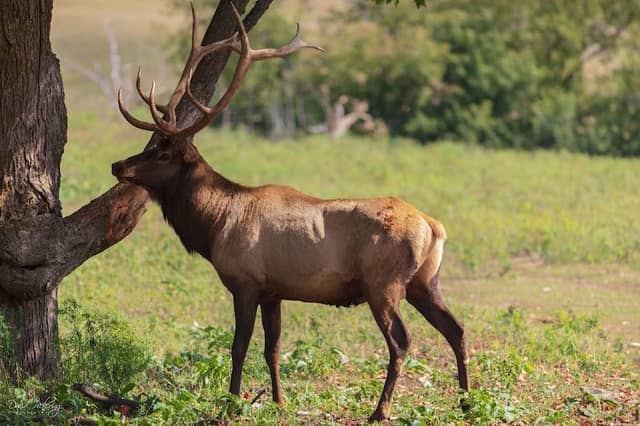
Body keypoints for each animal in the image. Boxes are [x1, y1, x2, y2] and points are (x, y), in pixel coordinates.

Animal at [110, 4, 469, 423]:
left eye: (164, 153)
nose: (118, 165)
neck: (215, 226)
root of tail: (434, 226)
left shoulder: (246, 281)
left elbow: (238, 347)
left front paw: (232, 404)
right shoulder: (274, 291)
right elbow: (273, 348)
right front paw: (280, 402)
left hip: (384, 283)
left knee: (401, 341)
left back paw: (380, 411)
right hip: (425, 282)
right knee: (457, 329)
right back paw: (466, 401)